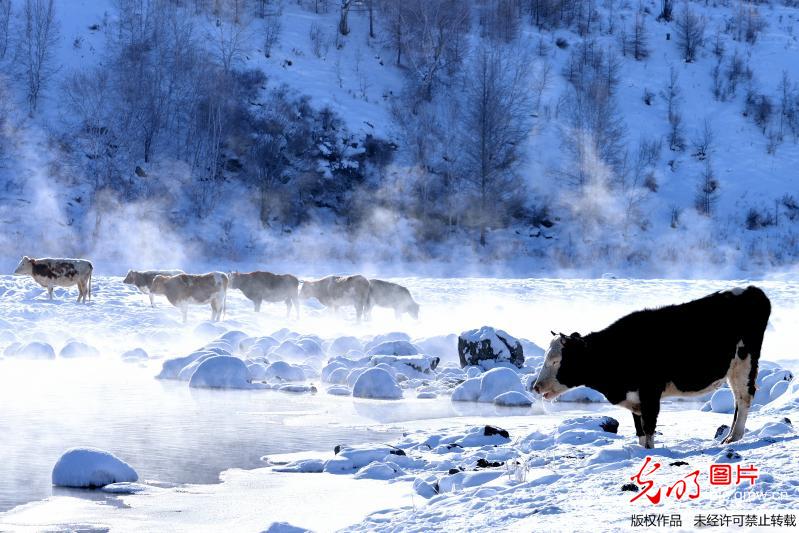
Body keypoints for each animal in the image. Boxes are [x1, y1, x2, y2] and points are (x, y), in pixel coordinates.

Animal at [536, 284, 772, 446]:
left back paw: (734, 437)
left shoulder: (650, 393)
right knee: (738, 398)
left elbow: (649, 429)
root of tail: (753, 290)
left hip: (744, 362)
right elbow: (640, 431)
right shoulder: (635, 399)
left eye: (556, 361)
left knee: (744, 396)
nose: (536, 386)